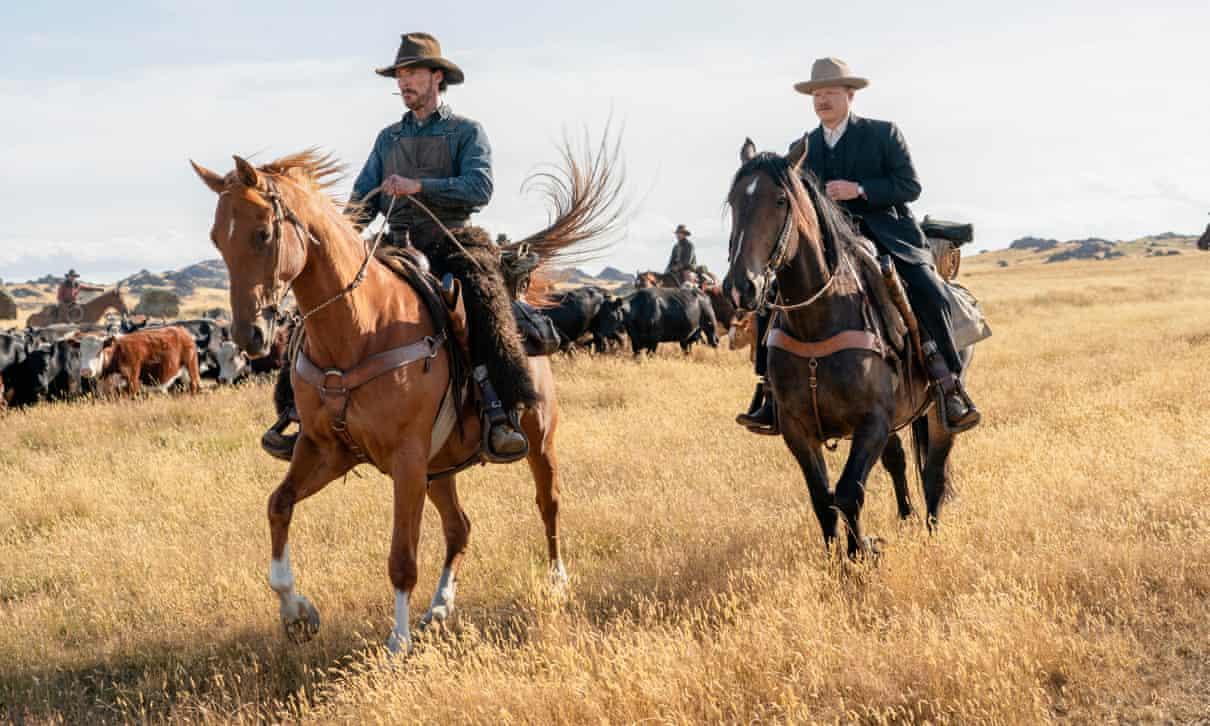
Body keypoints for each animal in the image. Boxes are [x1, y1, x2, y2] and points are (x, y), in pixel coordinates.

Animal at [191, 141, 624, 653]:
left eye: (262, 233)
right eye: (218, 240)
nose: (250, 336)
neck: (361, 327)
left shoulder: (406, 458)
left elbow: (401, 556)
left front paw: (397, 642)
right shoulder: (325, 449)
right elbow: (278, 505)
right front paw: (297, 612)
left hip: (537, 440)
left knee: (549, 503)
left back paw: (556, 581)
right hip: (439, 469)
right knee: (459, 527)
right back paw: (438, 609)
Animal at [721, 140, 968, 556]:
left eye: (781, 200)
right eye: (734, 201)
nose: (741, 287)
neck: (819, 321)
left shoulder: (872, 421)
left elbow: (849, 493)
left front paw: (859, 556)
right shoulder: (797, 429)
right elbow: (823, 499)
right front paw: (836, 560)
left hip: (938, 414)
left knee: (933, 469)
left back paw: (931, 532)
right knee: (898, 458)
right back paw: (906, 518)